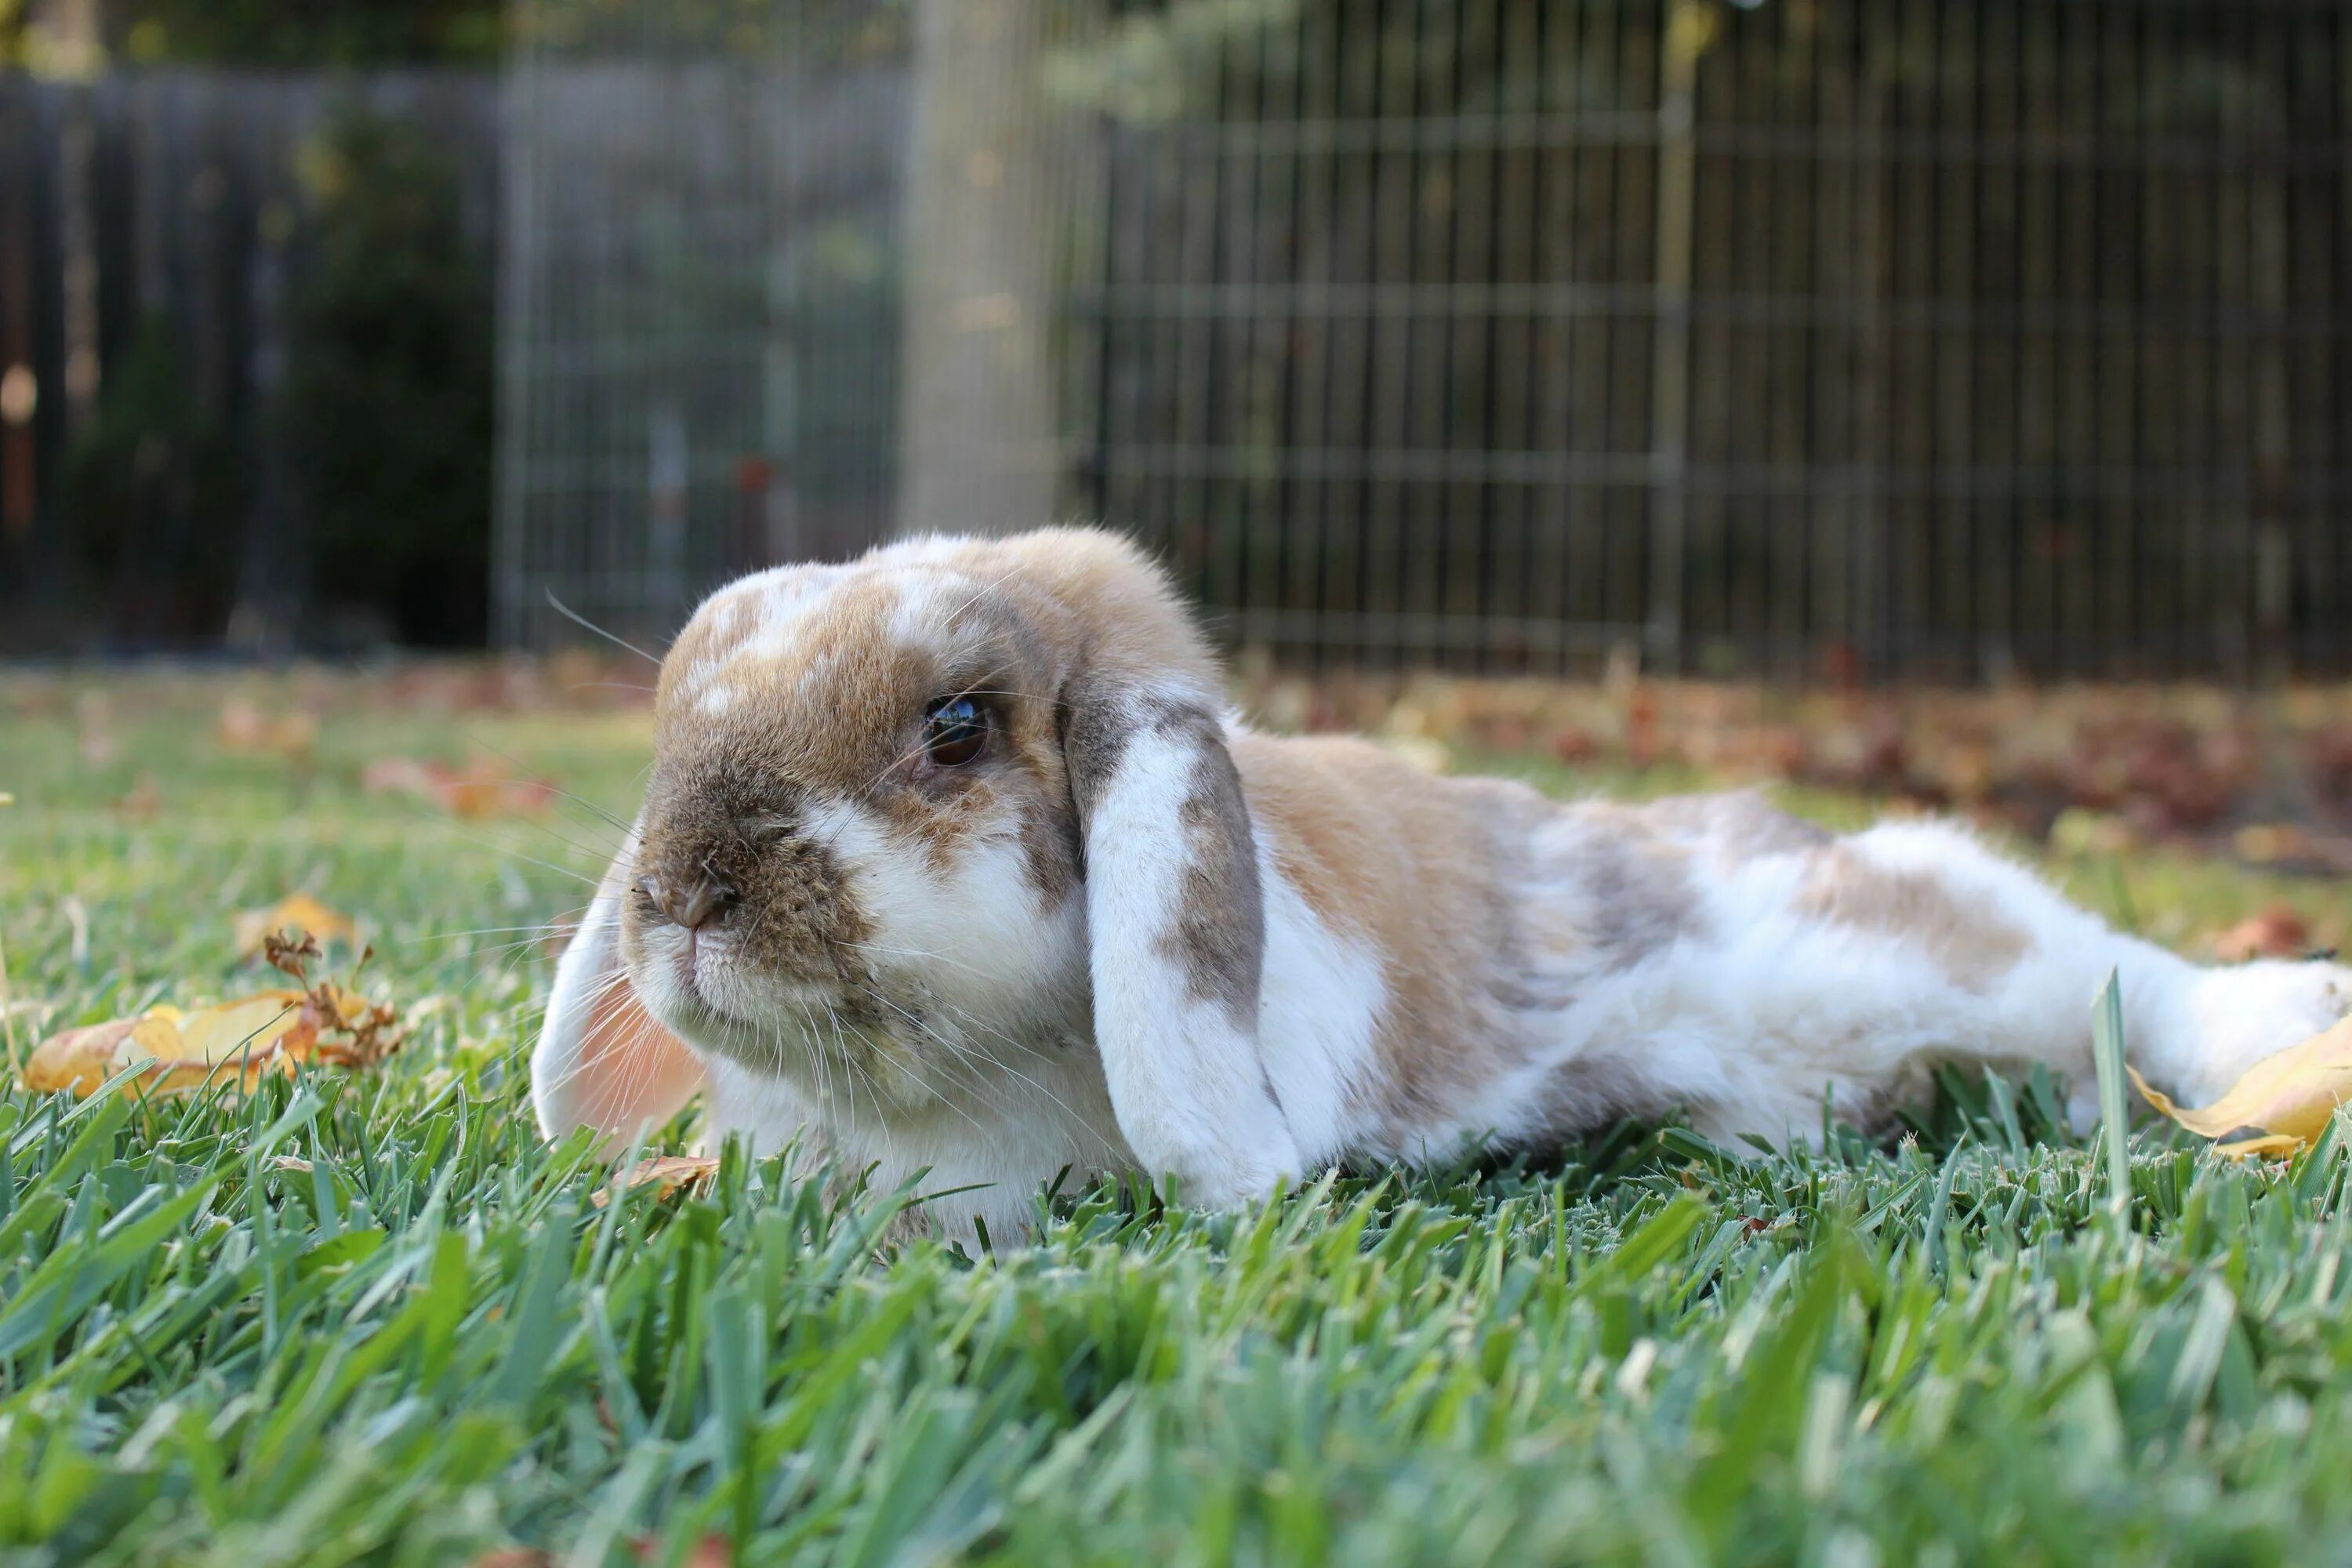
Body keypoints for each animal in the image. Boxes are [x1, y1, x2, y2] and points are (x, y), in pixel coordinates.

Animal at [534, 526, 2352, 1241]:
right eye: (677, 712)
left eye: (959, 726)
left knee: (2123, 978)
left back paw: (2284, 1023)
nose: (680, 897)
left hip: (1929, 941)